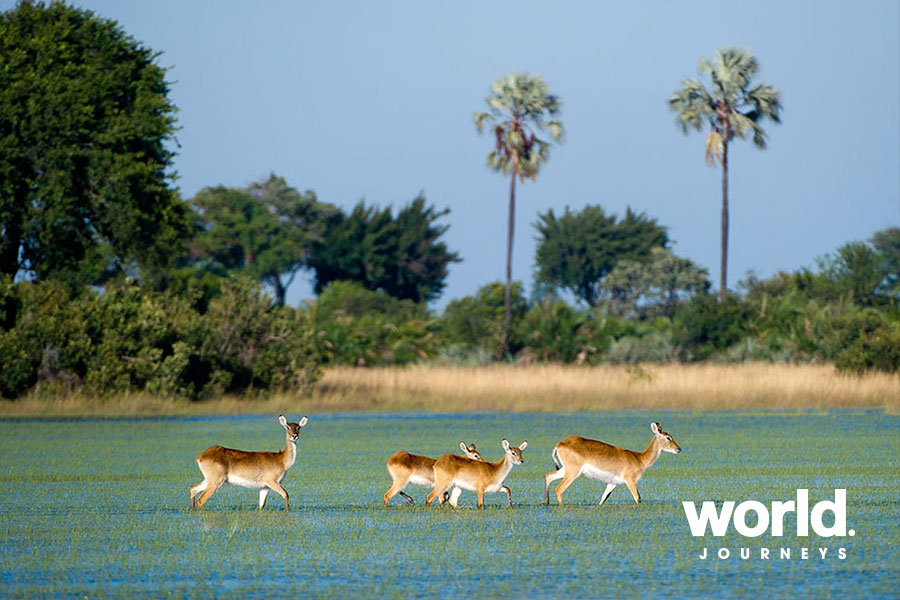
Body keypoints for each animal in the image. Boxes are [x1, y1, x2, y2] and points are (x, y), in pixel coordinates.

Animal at [544, 422, 680, 506]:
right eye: (668, 437)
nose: (679, 449)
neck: (639, 458)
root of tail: (560, 444)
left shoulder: (613, 483)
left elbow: (603, 499)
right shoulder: (630, 480)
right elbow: (638, 498)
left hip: (565, 470)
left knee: (548, 476)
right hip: (572, 472)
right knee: (559, 489)